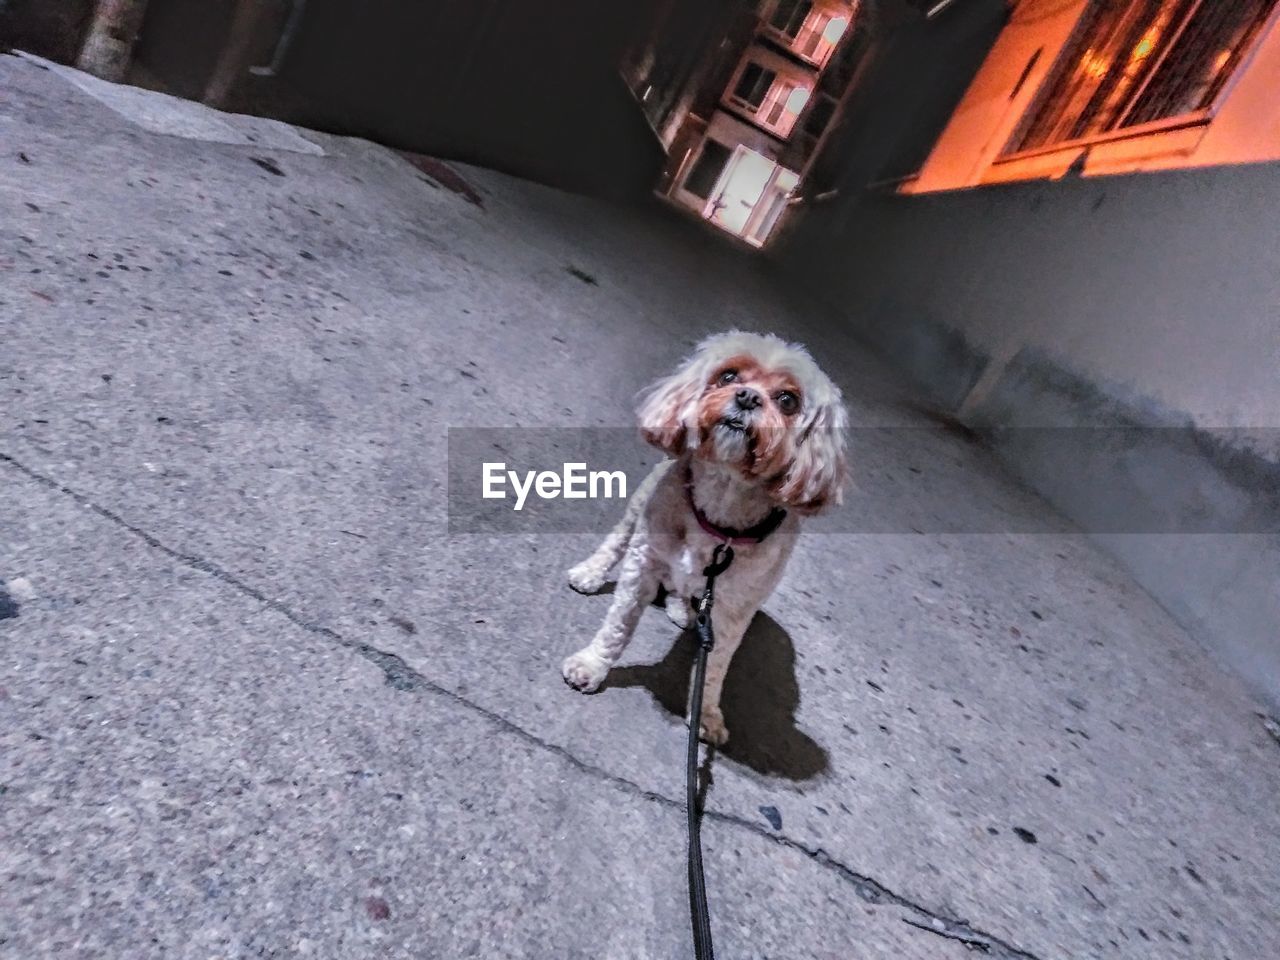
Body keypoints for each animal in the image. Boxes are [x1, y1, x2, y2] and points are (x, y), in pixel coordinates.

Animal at [563, 330, 844, 742]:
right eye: (728, 376)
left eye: (788, 400)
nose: (747, 397)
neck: (719, 519)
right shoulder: (642, 564)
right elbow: (618, 627)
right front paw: (592, 664)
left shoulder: (733, 610)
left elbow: (716, 667)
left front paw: (708, 714)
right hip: (640, 503)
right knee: (616, 541)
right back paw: (590, 572)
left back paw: (681, 608)